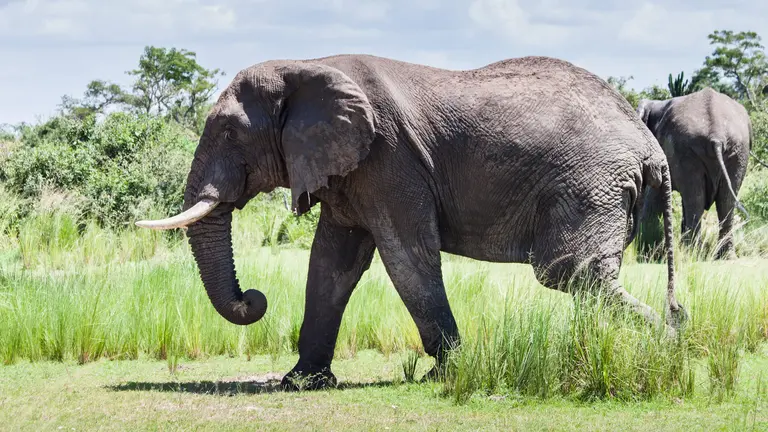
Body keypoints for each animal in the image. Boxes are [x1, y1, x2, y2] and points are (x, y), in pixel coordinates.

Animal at [135, 54, 687, 390]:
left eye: (230, 133)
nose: (253, 298)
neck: (307, 65)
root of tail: (651, 148)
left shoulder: (388, 159)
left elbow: (407, 258)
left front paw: (448, 376)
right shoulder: (353, 170)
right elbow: (331, 265)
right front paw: (301, 383)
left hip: (590, 183)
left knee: (568, 270)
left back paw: (666, 343)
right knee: (581, 275)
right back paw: (668, 337)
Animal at [636, 88, 752, 259]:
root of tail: (717, 135)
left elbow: (655, 194)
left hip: (688, 148)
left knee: (696, 199)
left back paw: (690, 253)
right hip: (738, 150)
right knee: (724, 201)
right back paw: (724, 257)